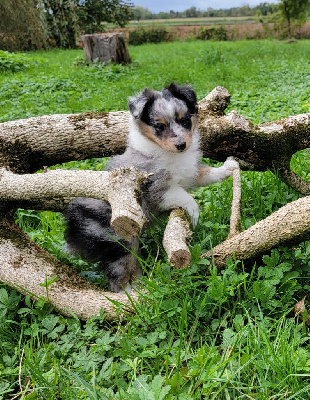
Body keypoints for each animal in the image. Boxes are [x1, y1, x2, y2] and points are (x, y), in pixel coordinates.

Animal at [65, 83, 237, 290]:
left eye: (184, 120)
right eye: (159, 126)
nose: (181, 145)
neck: (167, 153)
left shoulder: (188, 174)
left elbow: (204, 173)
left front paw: (227, 168)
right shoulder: (155, 190)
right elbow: (184, 196)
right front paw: (195, 215)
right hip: (117, 239)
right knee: (119, 274)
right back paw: (133, 293)